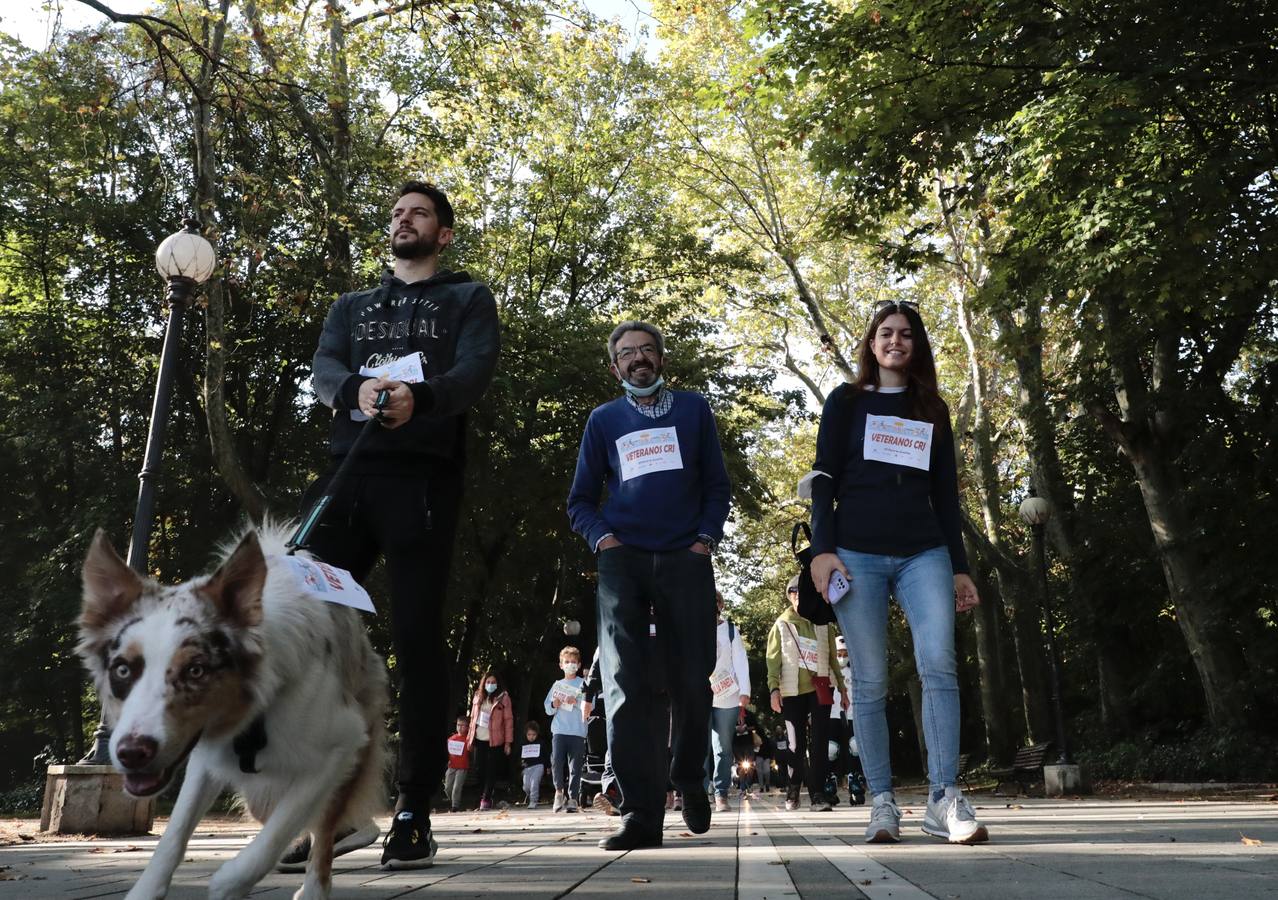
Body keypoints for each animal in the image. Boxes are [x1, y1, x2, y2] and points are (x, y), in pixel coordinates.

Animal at [77, 526, 385, 900]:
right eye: (122, 670)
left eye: (196, 670)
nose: (133, 753)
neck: (254, 712)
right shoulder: (204, 758)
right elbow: (174, 834)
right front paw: (145, 891)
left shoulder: (341, 745)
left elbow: (279, 831)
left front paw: (229, 883)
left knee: (323, 828)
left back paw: (314, 888)